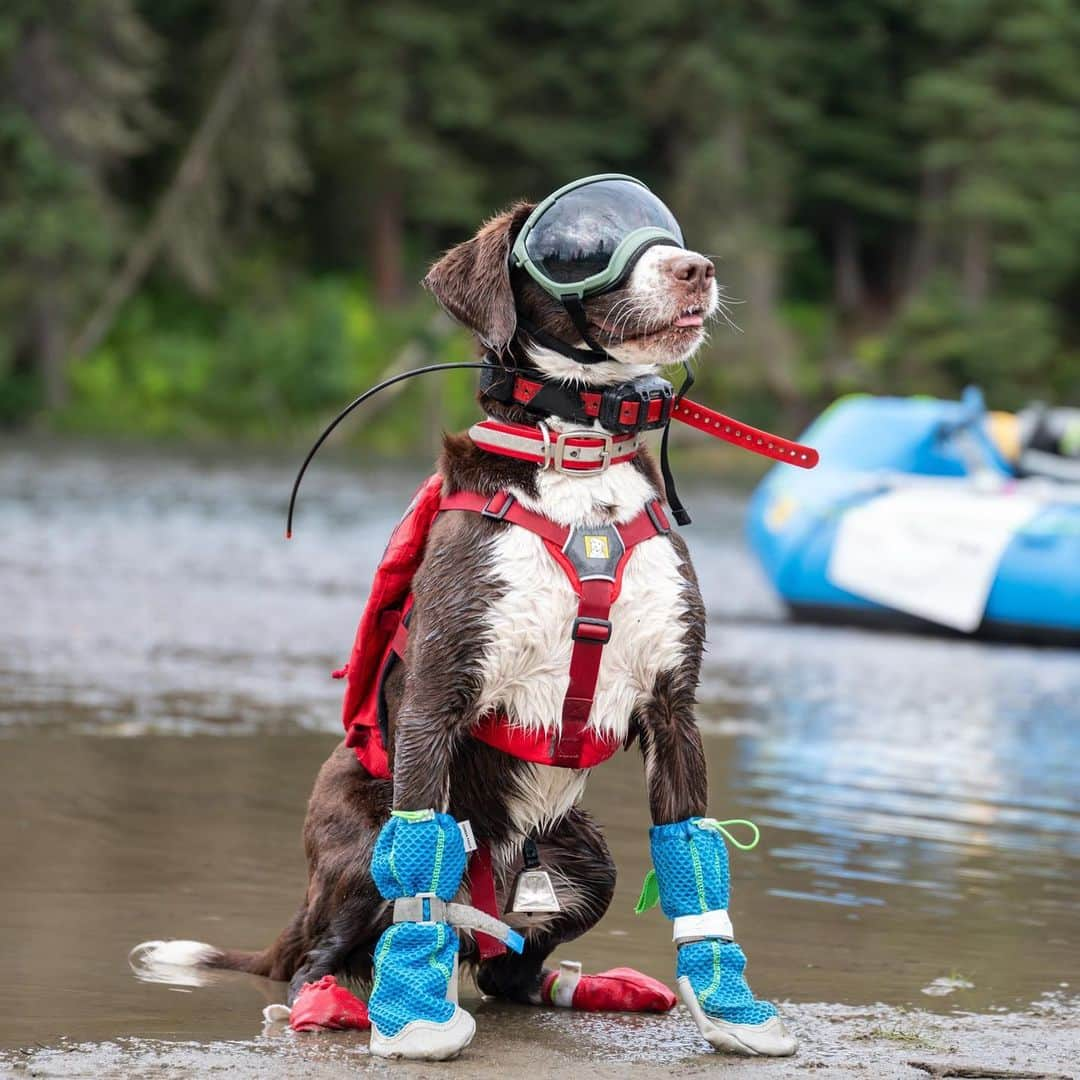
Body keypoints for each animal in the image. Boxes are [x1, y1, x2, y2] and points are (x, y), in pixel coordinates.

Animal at [132, 190, 794, 1058]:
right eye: (580, 245)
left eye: (665, 227)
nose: (696, 269)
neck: (578, 463)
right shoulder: (438, 695)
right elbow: (421, 858)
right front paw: (414, 1015)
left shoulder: (673, 704)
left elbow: (694, 857)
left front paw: (727, 1005)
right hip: (356, 843)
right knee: (336, 948)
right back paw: (336, 1001)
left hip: (586, 855)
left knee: (510, 968)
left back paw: (580, 985)